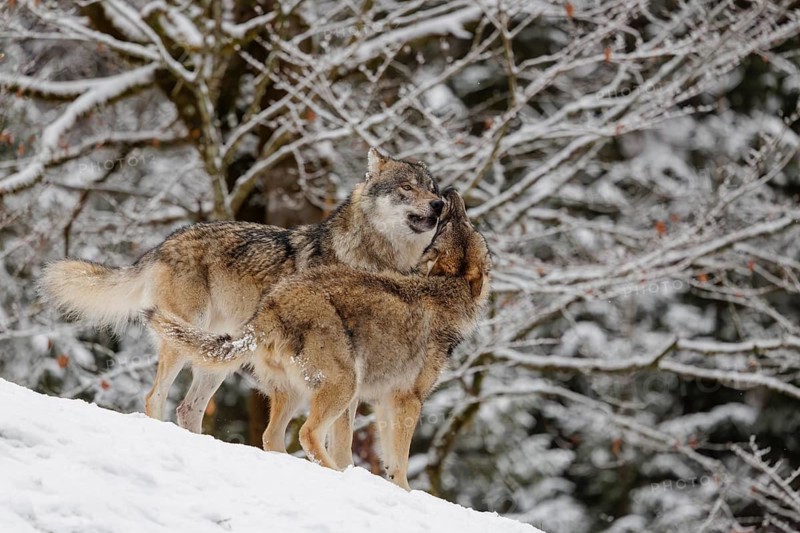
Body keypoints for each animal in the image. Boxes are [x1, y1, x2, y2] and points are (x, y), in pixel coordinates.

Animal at [40, 148, 443, 448]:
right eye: (407, 188)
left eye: (433, 188)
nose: (439, 204)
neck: (376, 261)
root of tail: (163, 244)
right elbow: (340, 441)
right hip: (184, 341)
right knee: (156, 397)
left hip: (220, 355)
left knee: (188, 408)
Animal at [147, 189, 492, 489]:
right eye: (457, 223)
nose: (449, 194)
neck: (444, 292)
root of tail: (270, 307)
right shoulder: (409, 400)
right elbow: (400, 462)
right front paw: (405, 493)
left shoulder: (385, 401)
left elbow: (390, 460)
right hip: (343, 386)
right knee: (307, 434)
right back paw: (337, 475)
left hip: (295, 393)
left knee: (272, 436)